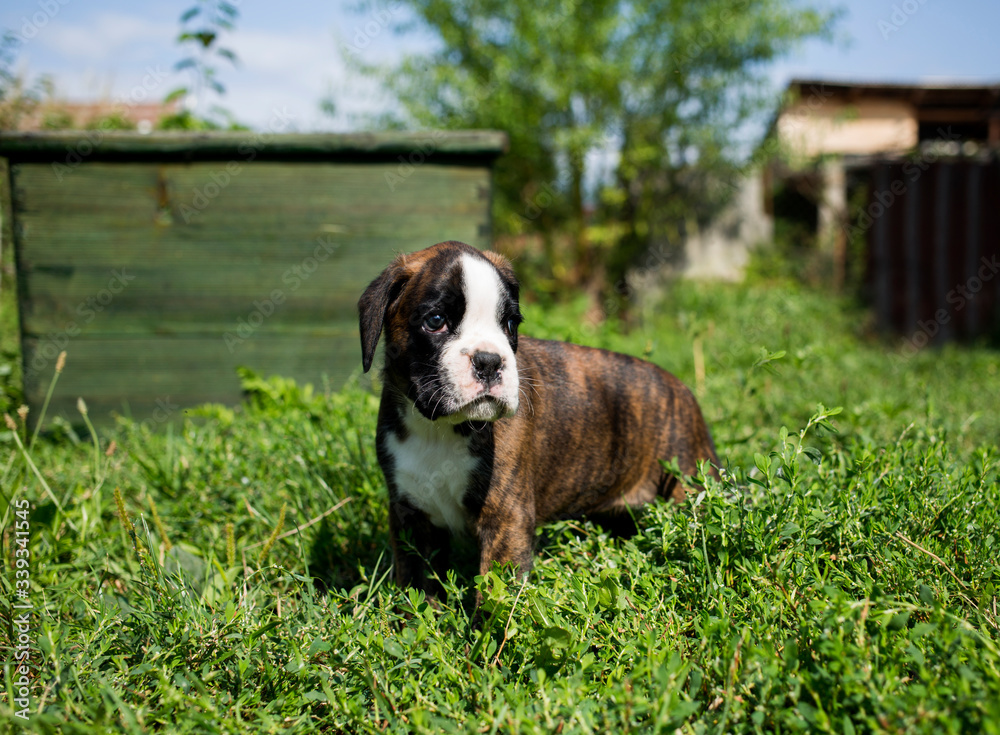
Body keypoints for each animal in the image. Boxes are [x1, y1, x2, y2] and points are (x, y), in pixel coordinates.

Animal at [360, 242, 720, 600]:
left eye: (509, 324)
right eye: (435, 321)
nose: (489, 361)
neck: (439, 429)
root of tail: (683, 391)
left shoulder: (505, 518)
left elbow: (496, 592)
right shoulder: (411, 516)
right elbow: (416, 585)